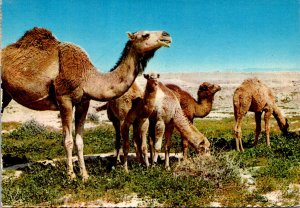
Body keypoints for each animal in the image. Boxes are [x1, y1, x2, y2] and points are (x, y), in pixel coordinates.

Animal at [1, 26, 171, 180]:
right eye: (145, 34)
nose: (167, 35)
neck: (87, 77)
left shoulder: (84, 102)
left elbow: (79, 140)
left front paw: (85, 175)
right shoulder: (64, 99)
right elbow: (68, 140)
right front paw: (71, 176)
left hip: (6, 94)